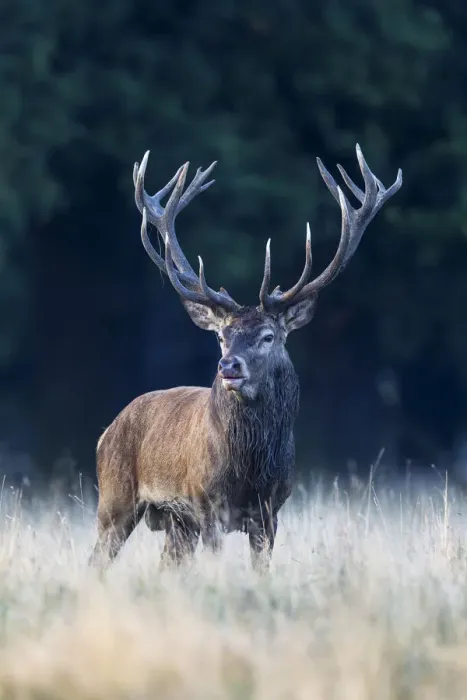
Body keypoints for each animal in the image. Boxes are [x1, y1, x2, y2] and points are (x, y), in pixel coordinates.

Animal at [90, 144, 402, 572]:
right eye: (222, 337)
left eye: (268, 337)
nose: (229, 367)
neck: (249, 471)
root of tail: (107, 430)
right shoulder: (205, 503)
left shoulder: (272, 509)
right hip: (115, 497)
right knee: (96, 560)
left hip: (173, 522)